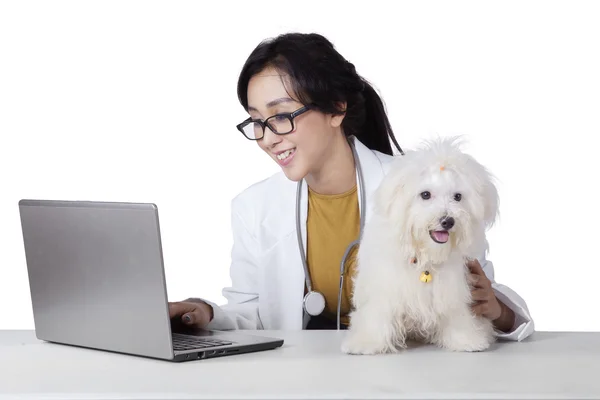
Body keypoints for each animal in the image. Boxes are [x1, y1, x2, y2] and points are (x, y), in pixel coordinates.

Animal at [340, 137, 500, 354]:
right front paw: (367, 343)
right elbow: (378, 314)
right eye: (425, 195)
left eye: (458, 197)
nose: (447, 221)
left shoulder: (452, 290)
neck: (425, 256)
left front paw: (466, 340)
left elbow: (456, 314)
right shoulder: (385, 286)